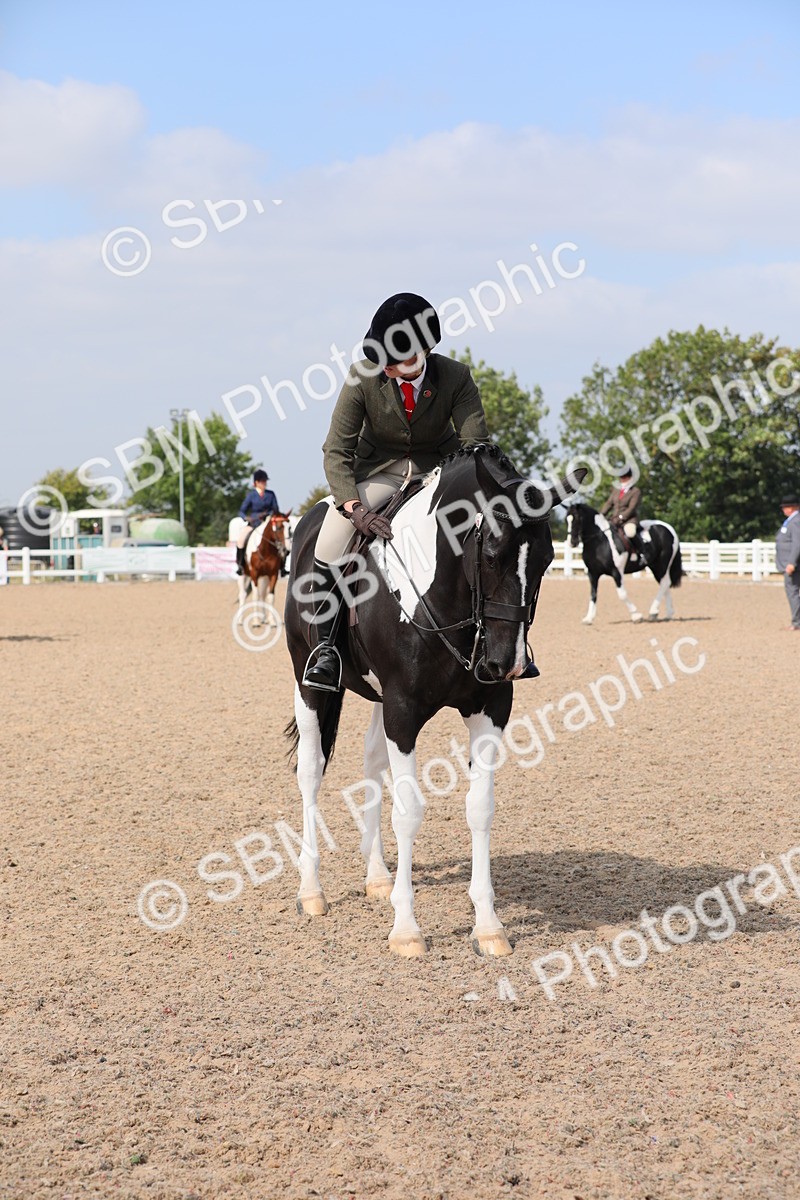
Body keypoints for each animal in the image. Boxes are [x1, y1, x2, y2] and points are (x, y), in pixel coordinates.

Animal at [284, 445, 585, 959]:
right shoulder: (403, 711)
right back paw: (312, 891)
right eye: (491, 556)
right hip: (310, 685)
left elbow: (480, 807)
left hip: (378, 698)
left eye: (547, 560)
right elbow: (408, 813)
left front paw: (488, 926)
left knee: (371, 760)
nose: (506, 663)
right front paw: (406, 929)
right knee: (311, 771)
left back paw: (378, 877)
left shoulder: (490, 709)